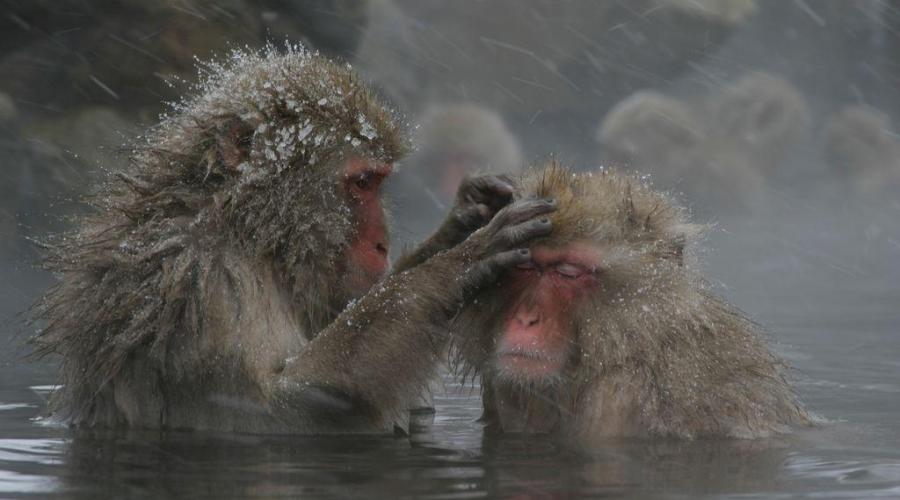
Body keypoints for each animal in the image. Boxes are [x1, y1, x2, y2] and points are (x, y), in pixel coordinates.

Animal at [31, 44, 556, 434]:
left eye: (378, 183)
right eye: (362, 182)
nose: (382, 245)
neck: (245, 231)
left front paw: (465, 218)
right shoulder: (198, 283)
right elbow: (274, 411)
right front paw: (454, 267)